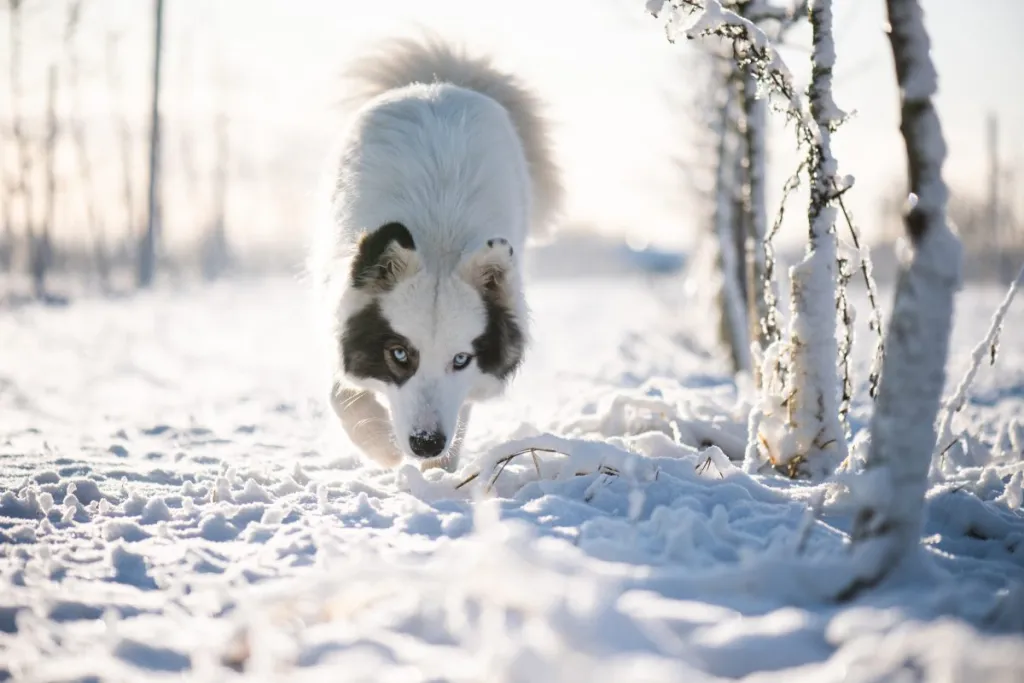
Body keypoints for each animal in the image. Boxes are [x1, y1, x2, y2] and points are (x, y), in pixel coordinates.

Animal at [311, 36, 565, 471]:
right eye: (399, 354)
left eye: (461, 359)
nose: (427, 443)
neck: (438, 245)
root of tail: (438, 82)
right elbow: (343, 395)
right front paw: (380, 445)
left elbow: (460, 409)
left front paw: (437, 474)